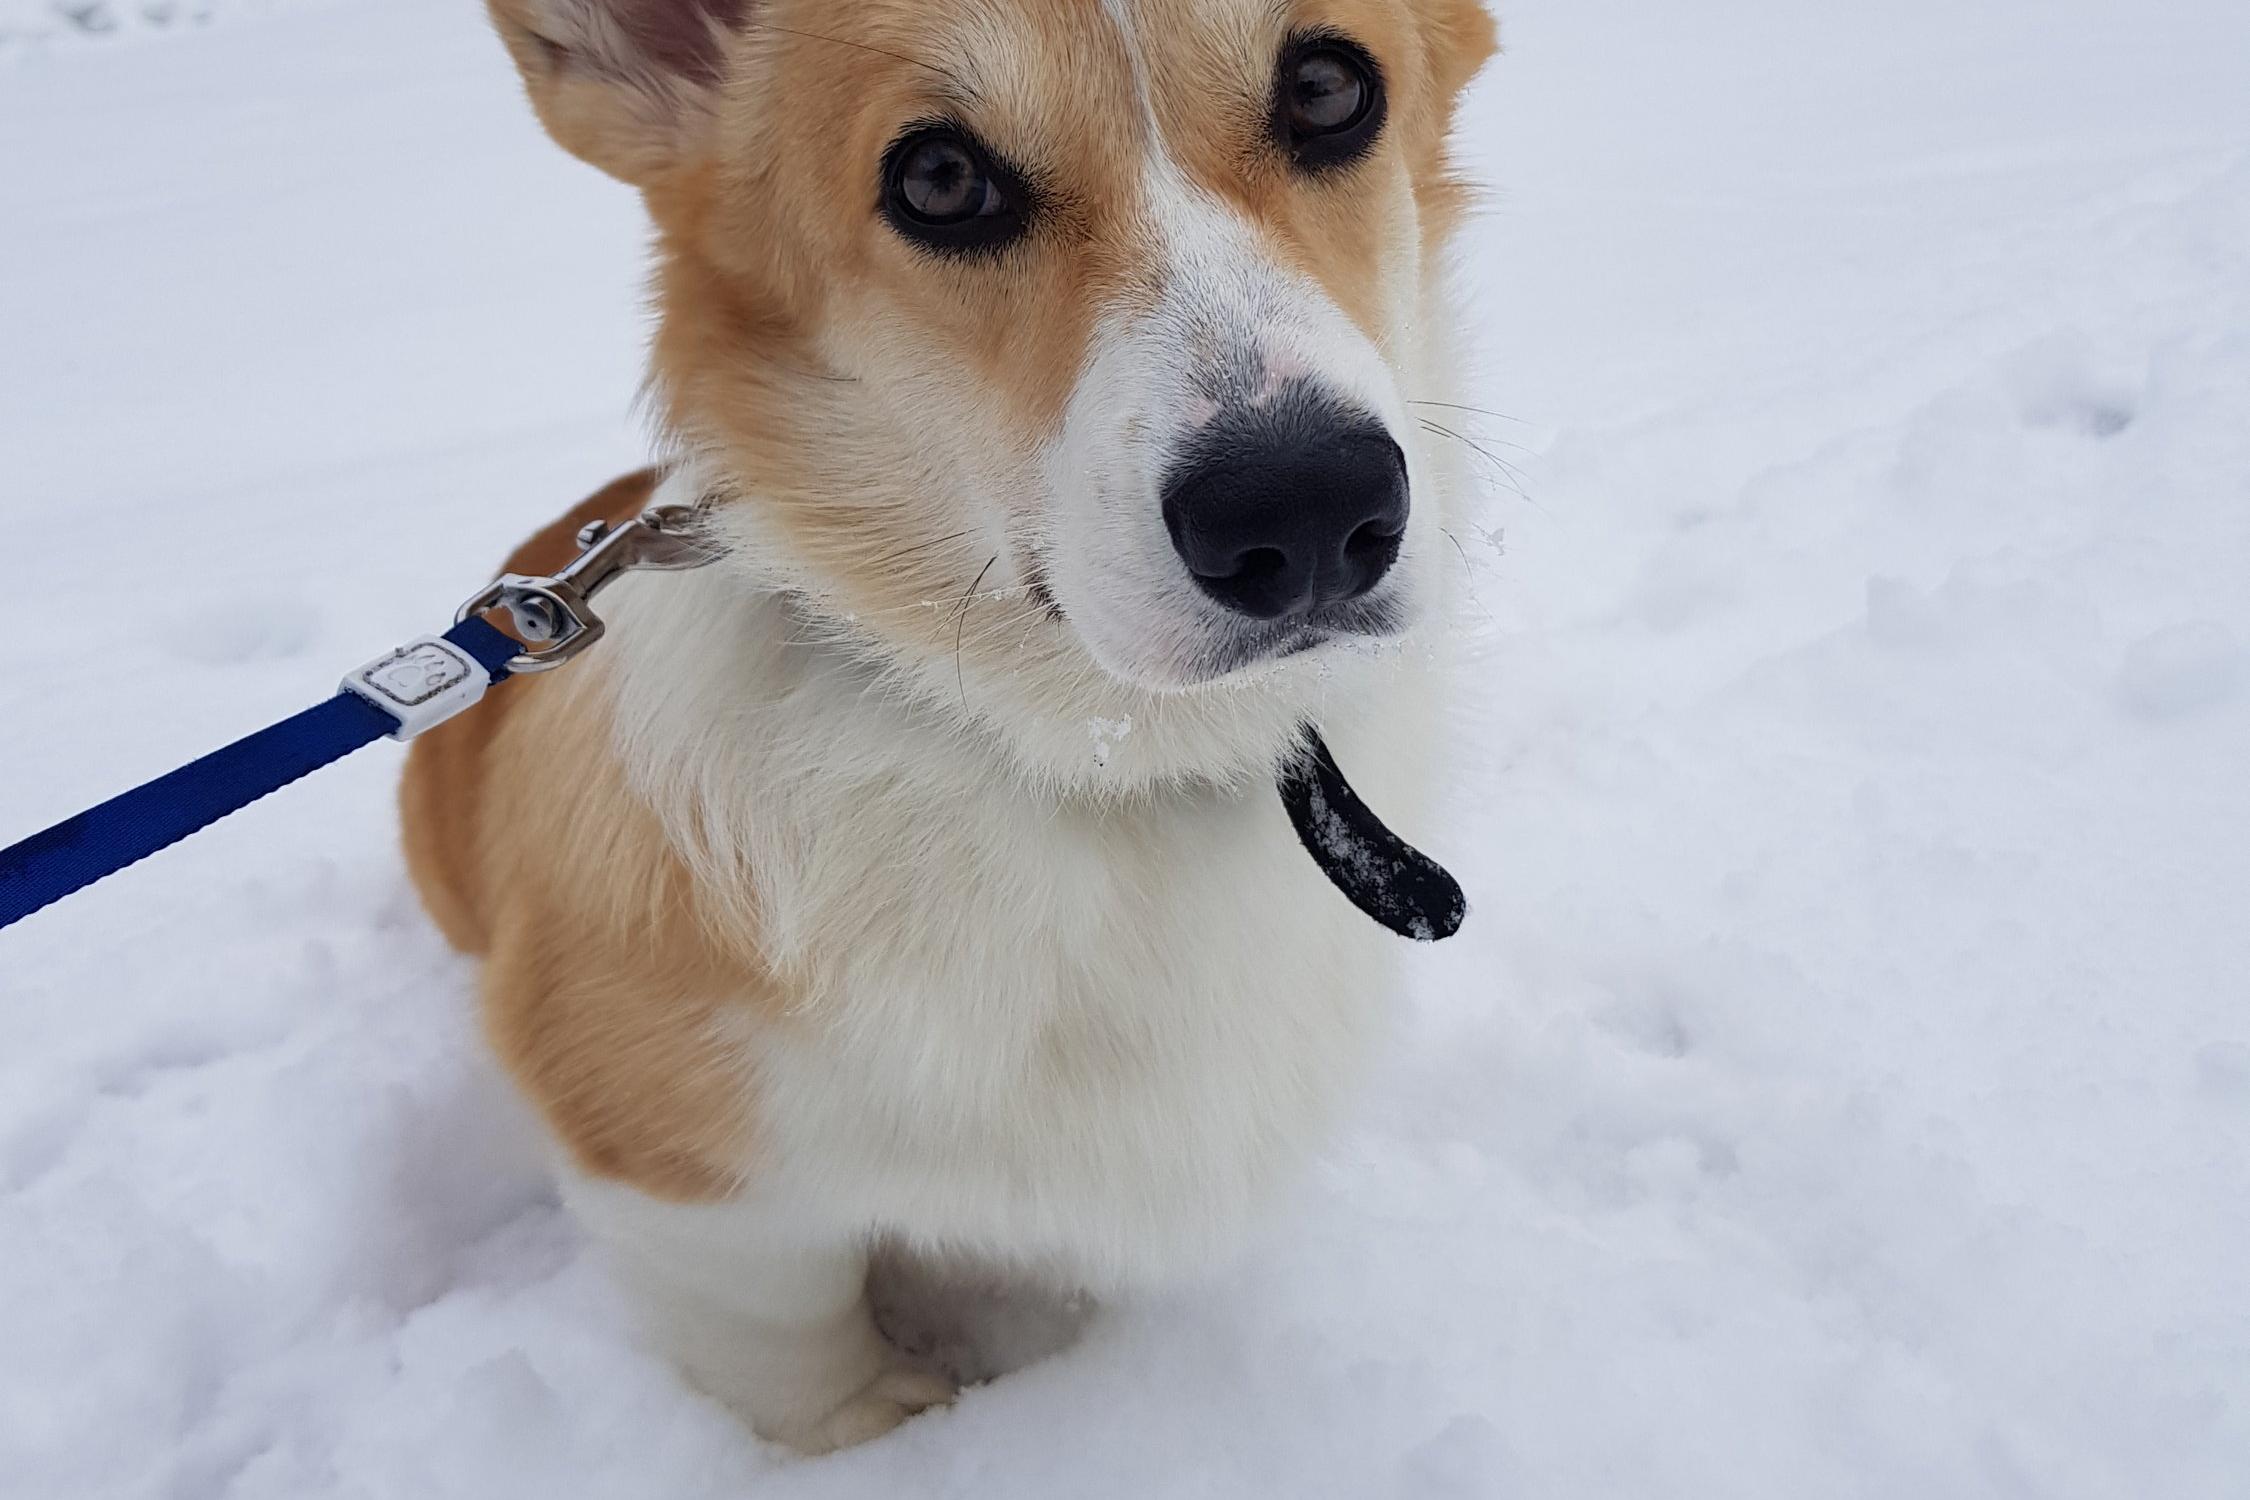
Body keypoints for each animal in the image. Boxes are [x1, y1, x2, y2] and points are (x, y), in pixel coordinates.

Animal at [405, 0, 1494, 1457]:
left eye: (1328, 86)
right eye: (936, 179)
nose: (1308, 510)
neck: (1093, 764)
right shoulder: (682, 1181)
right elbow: (791, 1348)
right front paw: (882, 1432)